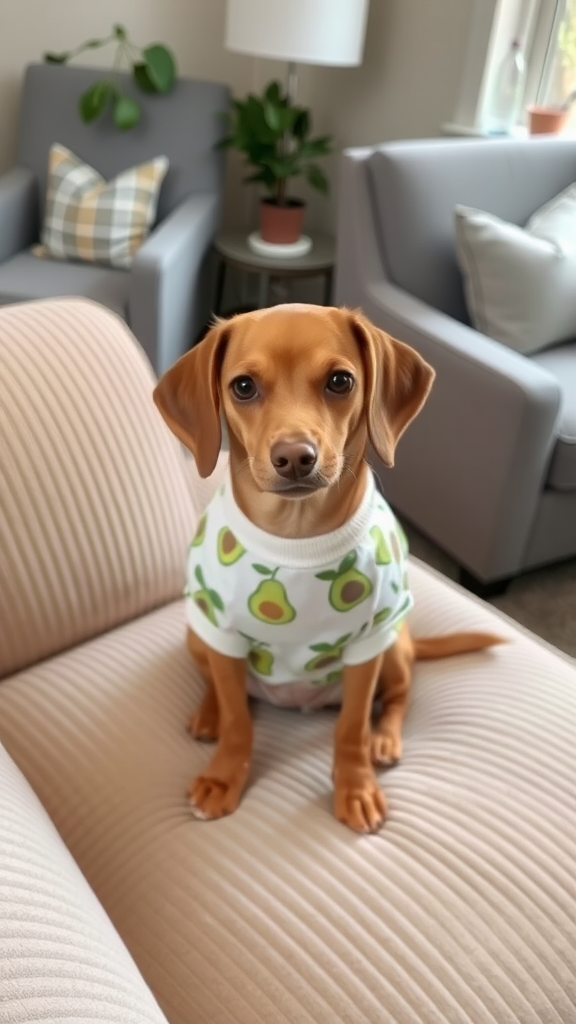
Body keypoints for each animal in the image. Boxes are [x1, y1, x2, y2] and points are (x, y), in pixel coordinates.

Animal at [152, 303, 498, 831]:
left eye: (340, 380)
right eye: (243, 387)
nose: (295, 457)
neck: (297, 536)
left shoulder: (367, 649)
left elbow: (351, 727)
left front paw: (355, 785)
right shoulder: (222, 635)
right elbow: (237, 720)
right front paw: (224, 775)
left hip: (394, 644)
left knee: (399, 696)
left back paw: (385, 738)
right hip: (198, 633)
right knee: (218, 684)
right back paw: (208, 713)